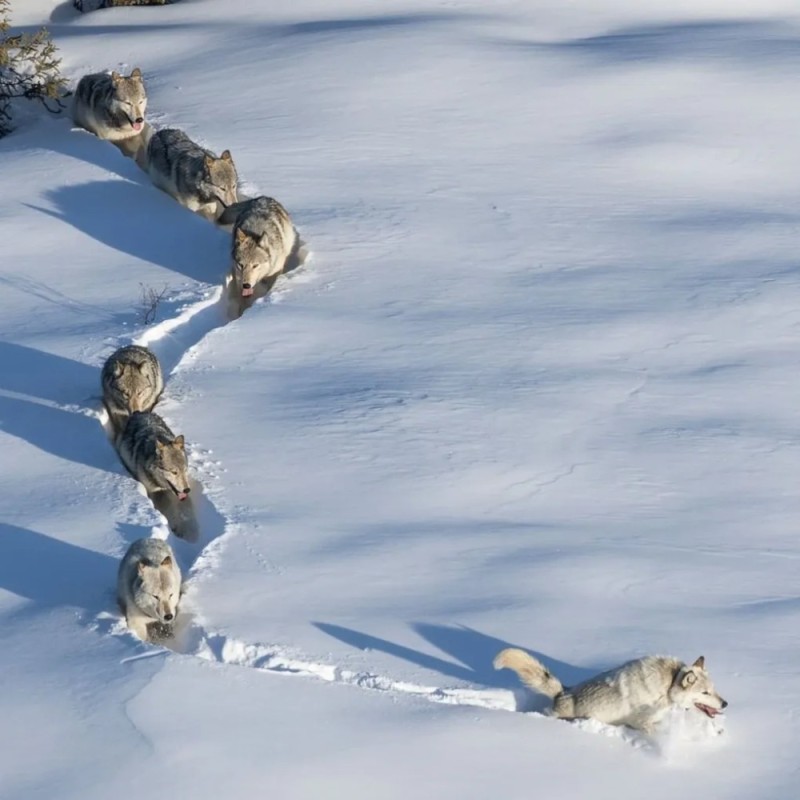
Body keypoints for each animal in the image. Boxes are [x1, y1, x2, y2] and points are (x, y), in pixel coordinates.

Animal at [490, 648, 728, 736]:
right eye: (705, 692)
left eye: (713, 690)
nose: (725, 704)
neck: (668, 686)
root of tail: (562, 692)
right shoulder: (641, 723)